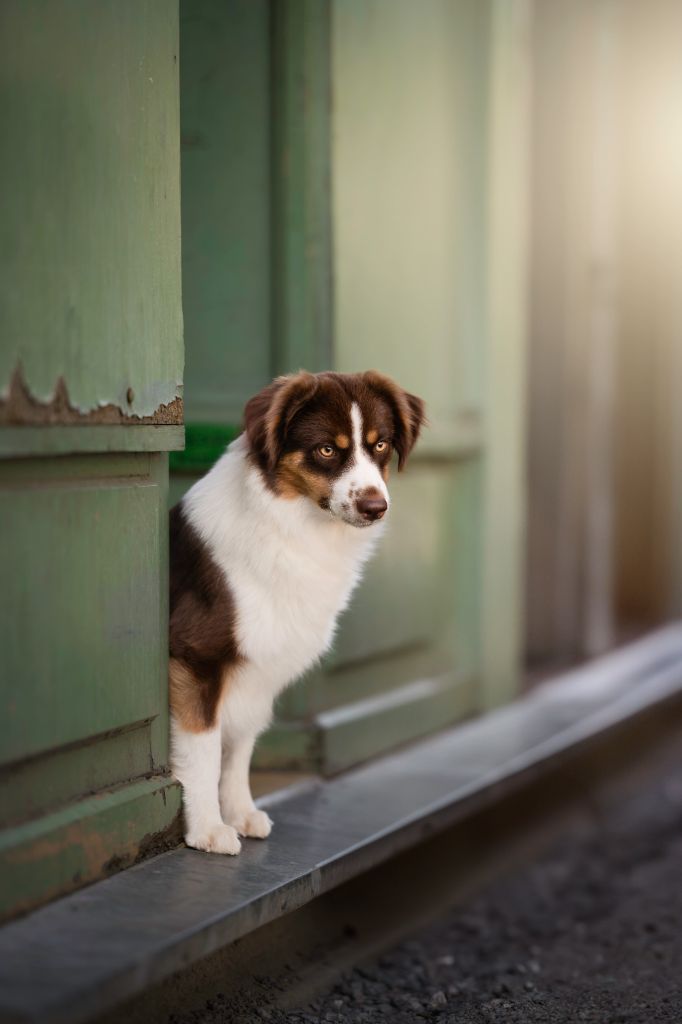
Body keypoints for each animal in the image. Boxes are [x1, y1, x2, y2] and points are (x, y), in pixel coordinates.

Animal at [166, 372, 421, 851]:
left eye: (380, 445)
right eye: (327, 450)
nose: (375, 508)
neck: (292, 524)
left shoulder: (258, 670)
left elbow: (239, 749)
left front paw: (239, 812)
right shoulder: (194, 658)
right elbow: (204, 749)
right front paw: (208, 828)